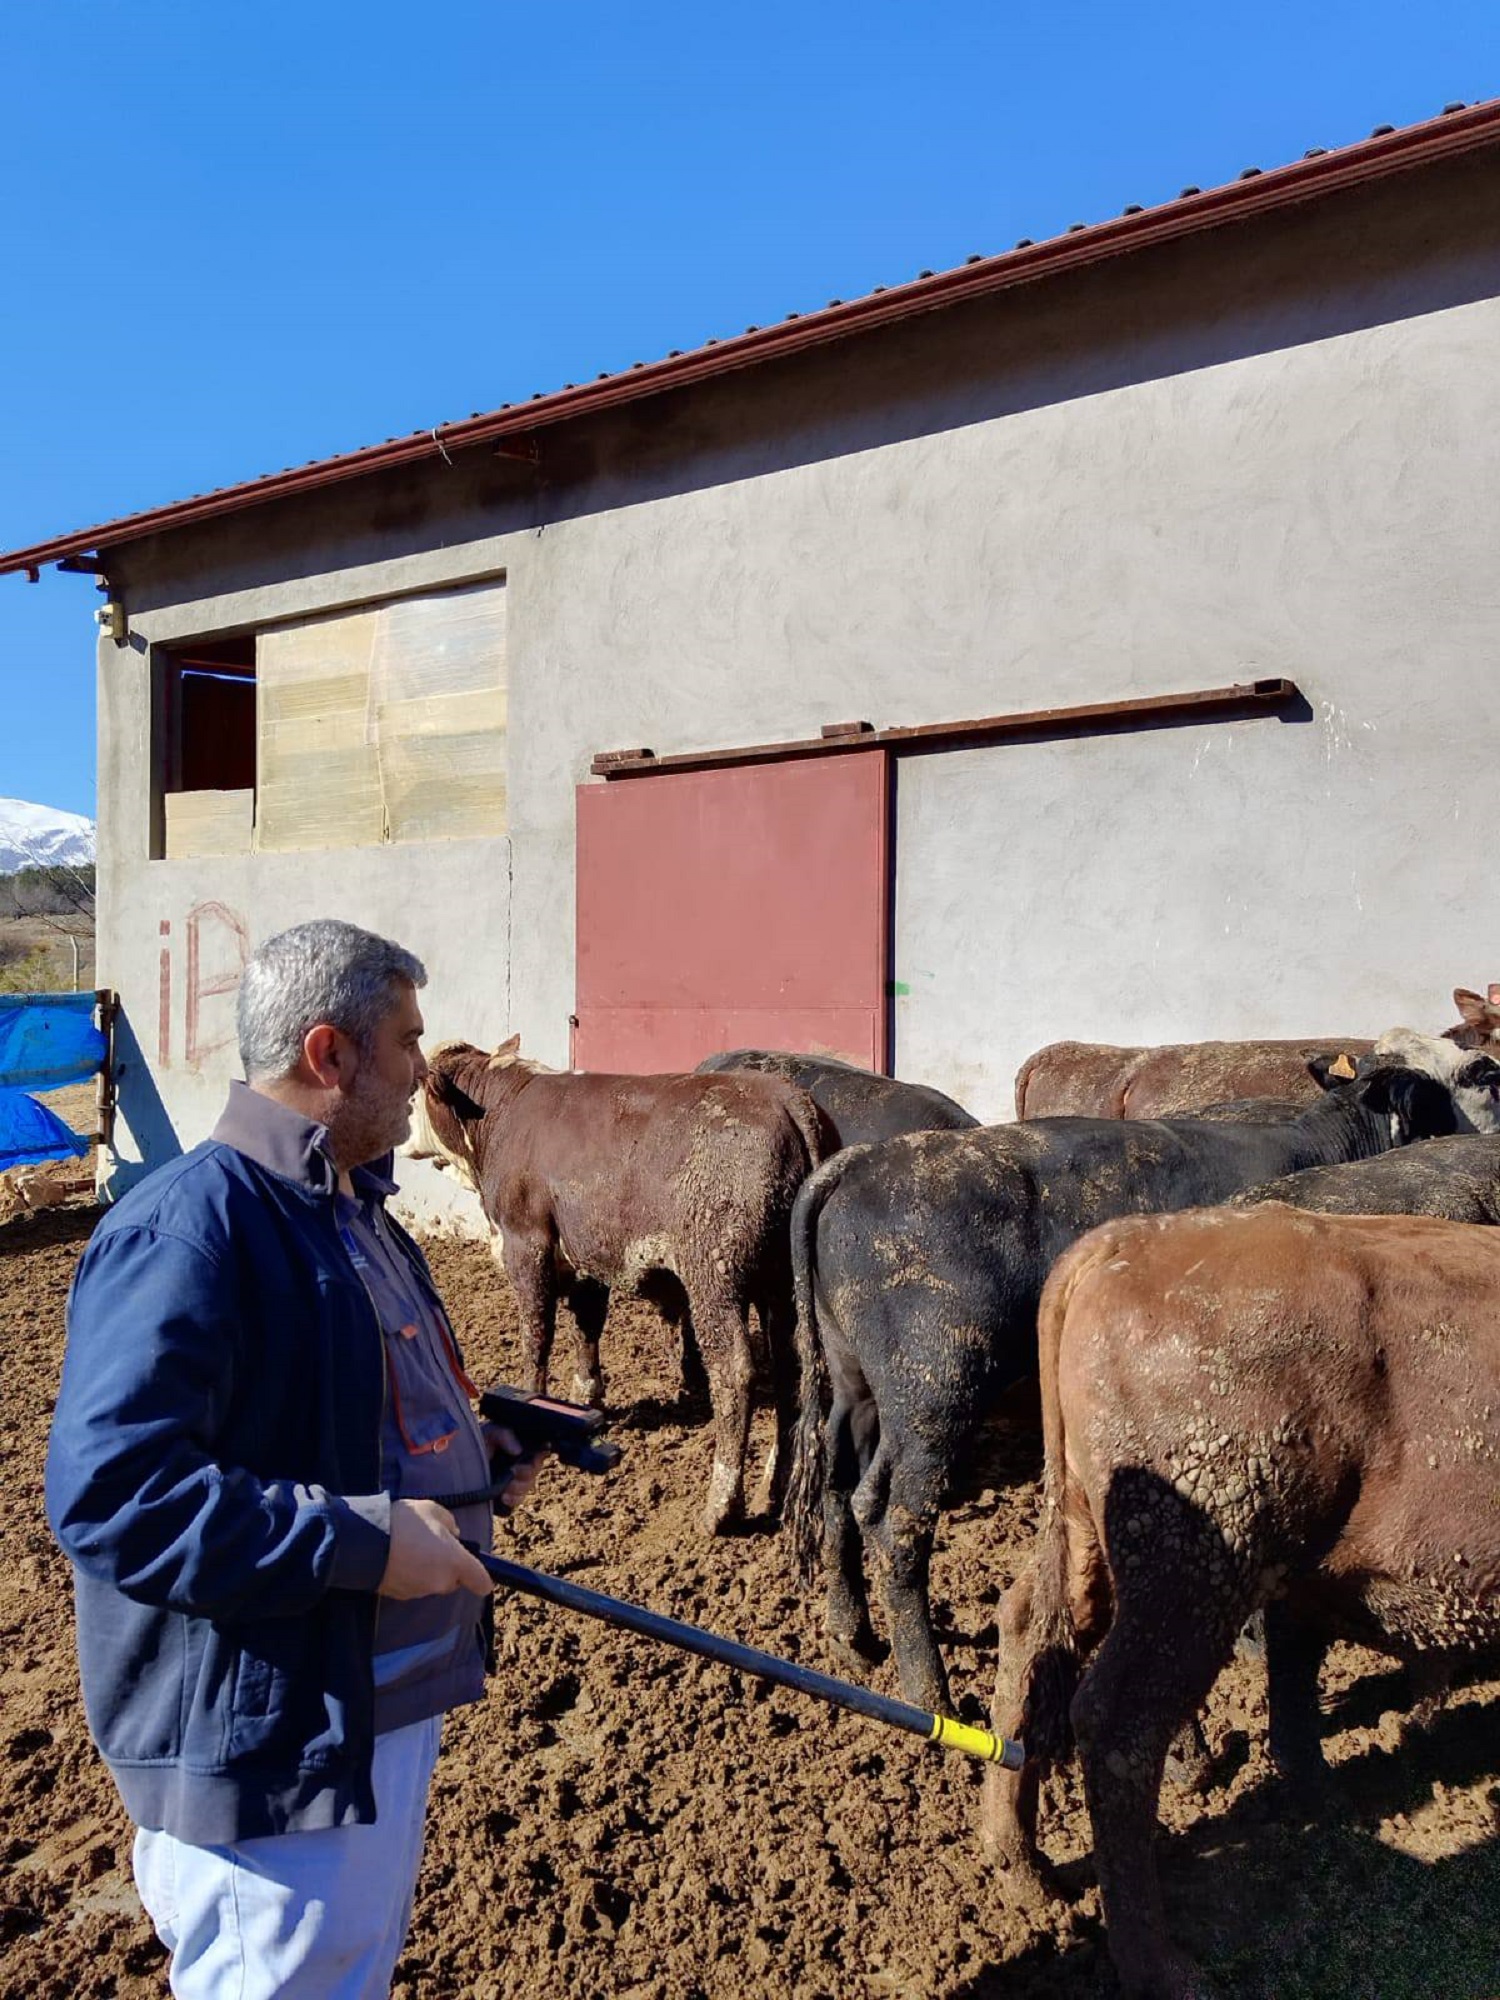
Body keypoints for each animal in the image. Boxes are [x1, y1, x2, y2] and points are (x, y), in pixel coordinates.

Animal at [788, 1040, 1500, 1712]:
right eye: (1451, 1089)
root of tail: (857, 1163)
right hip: (935, 1396)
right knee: (896, 1521)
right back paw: (927, 1687)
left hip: (857, 1389)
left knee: (839, 1488)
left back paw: (850, 1633)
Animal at [988, 1200, 1500, 2000]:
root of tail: (1122, 1242)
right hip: (1193, 1580)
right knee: (1118, 1724)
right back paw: (1161, 1967)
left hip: (1085, 1541)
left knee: (1029, 1636)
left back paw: (1023, 1868)